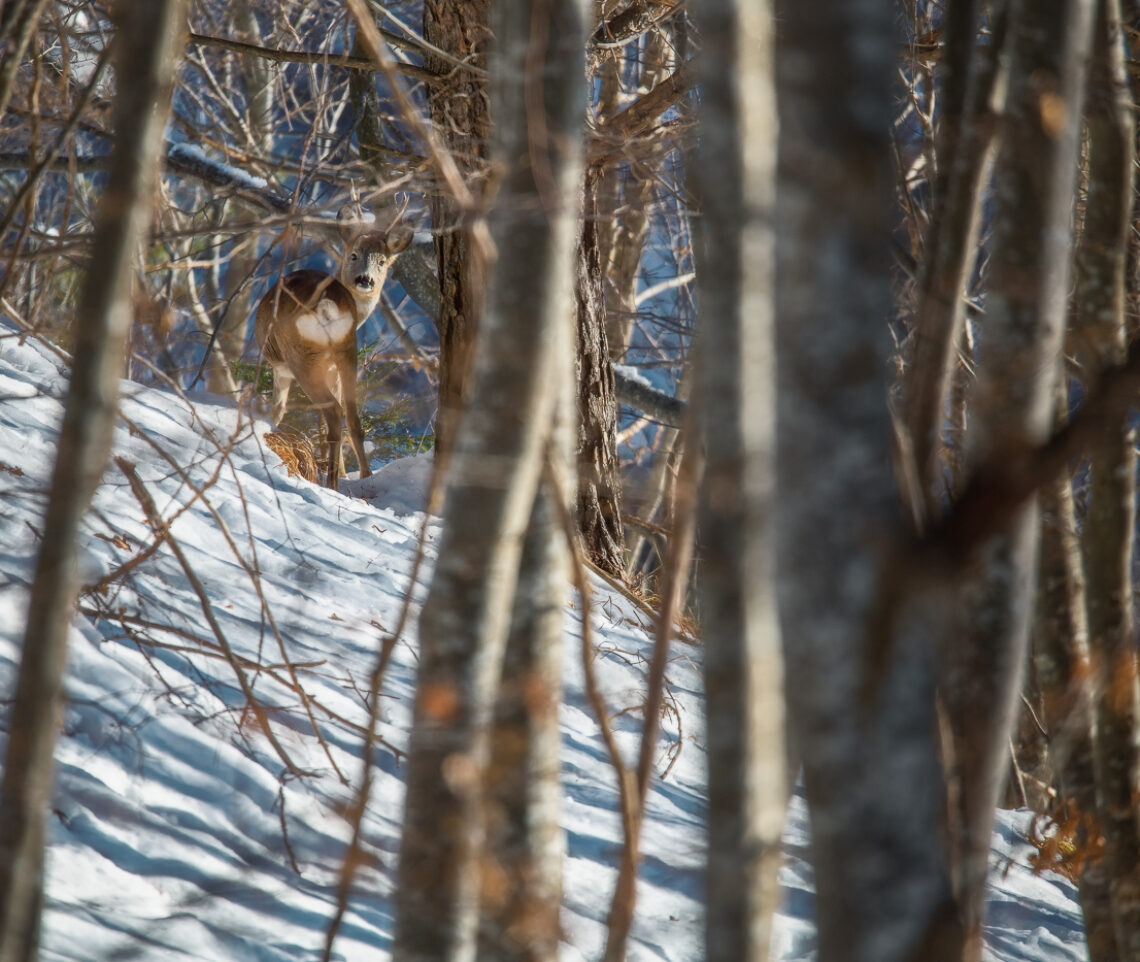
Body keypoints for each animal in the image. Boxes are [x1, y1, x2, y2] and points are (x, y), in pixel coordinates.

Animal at [256, 209, 412, 487]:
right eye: (354, 254)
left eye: (382, 261)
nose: (365, 280)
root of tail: (326, 304)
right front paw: (345, 471)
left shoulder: (281, 368)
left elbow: (278, 409)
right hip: (347, 348)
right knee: (351, 414)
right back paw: (364, 475)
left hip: (301, 356)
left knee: (332, 411)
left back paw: (332, 481)